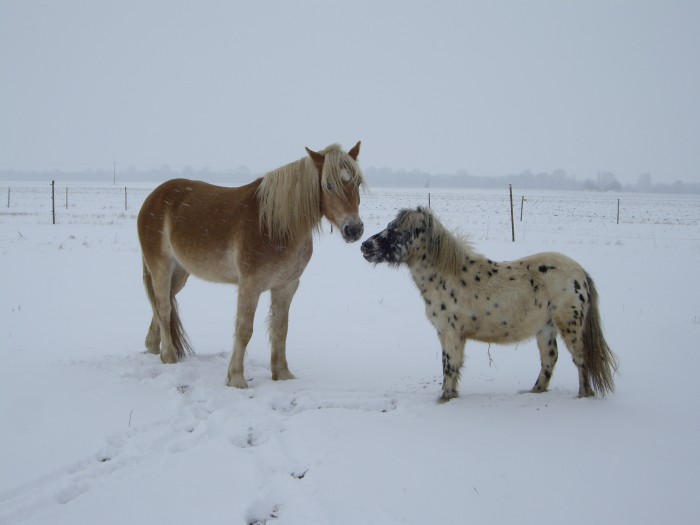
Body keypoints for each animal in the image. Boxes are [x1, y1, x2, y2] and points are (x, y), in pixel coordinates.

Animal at [139, 141, 364, 386]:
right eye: (329, 185)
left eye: (357, 182)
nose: (354, 229)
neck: (275, 225)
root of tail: (153, 197)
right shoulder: (250, 285)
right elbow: (244, 330)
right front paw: (236, 378)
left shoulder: (286, 286)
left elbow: (280, 329)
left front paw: (282, 374)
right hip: (161, 267)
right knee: (163, 308)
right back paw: (169, 357)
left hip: (180, 273)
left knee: (162, 303)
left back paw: (154, 347)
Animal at [360, 206, 616, 402]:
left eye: (396, 231)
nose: (365, 246)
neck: (448, 277)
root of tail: (580, 271)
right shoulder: (447, 334)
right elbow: (450, 367)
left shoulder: (451, 334)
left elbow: (449, 366)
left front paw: (445, 399)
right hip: (546, 329)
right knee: (549, 360)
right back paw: (533, 392)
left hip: (570, 327)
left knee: (580, 360)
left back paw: (582, 396)